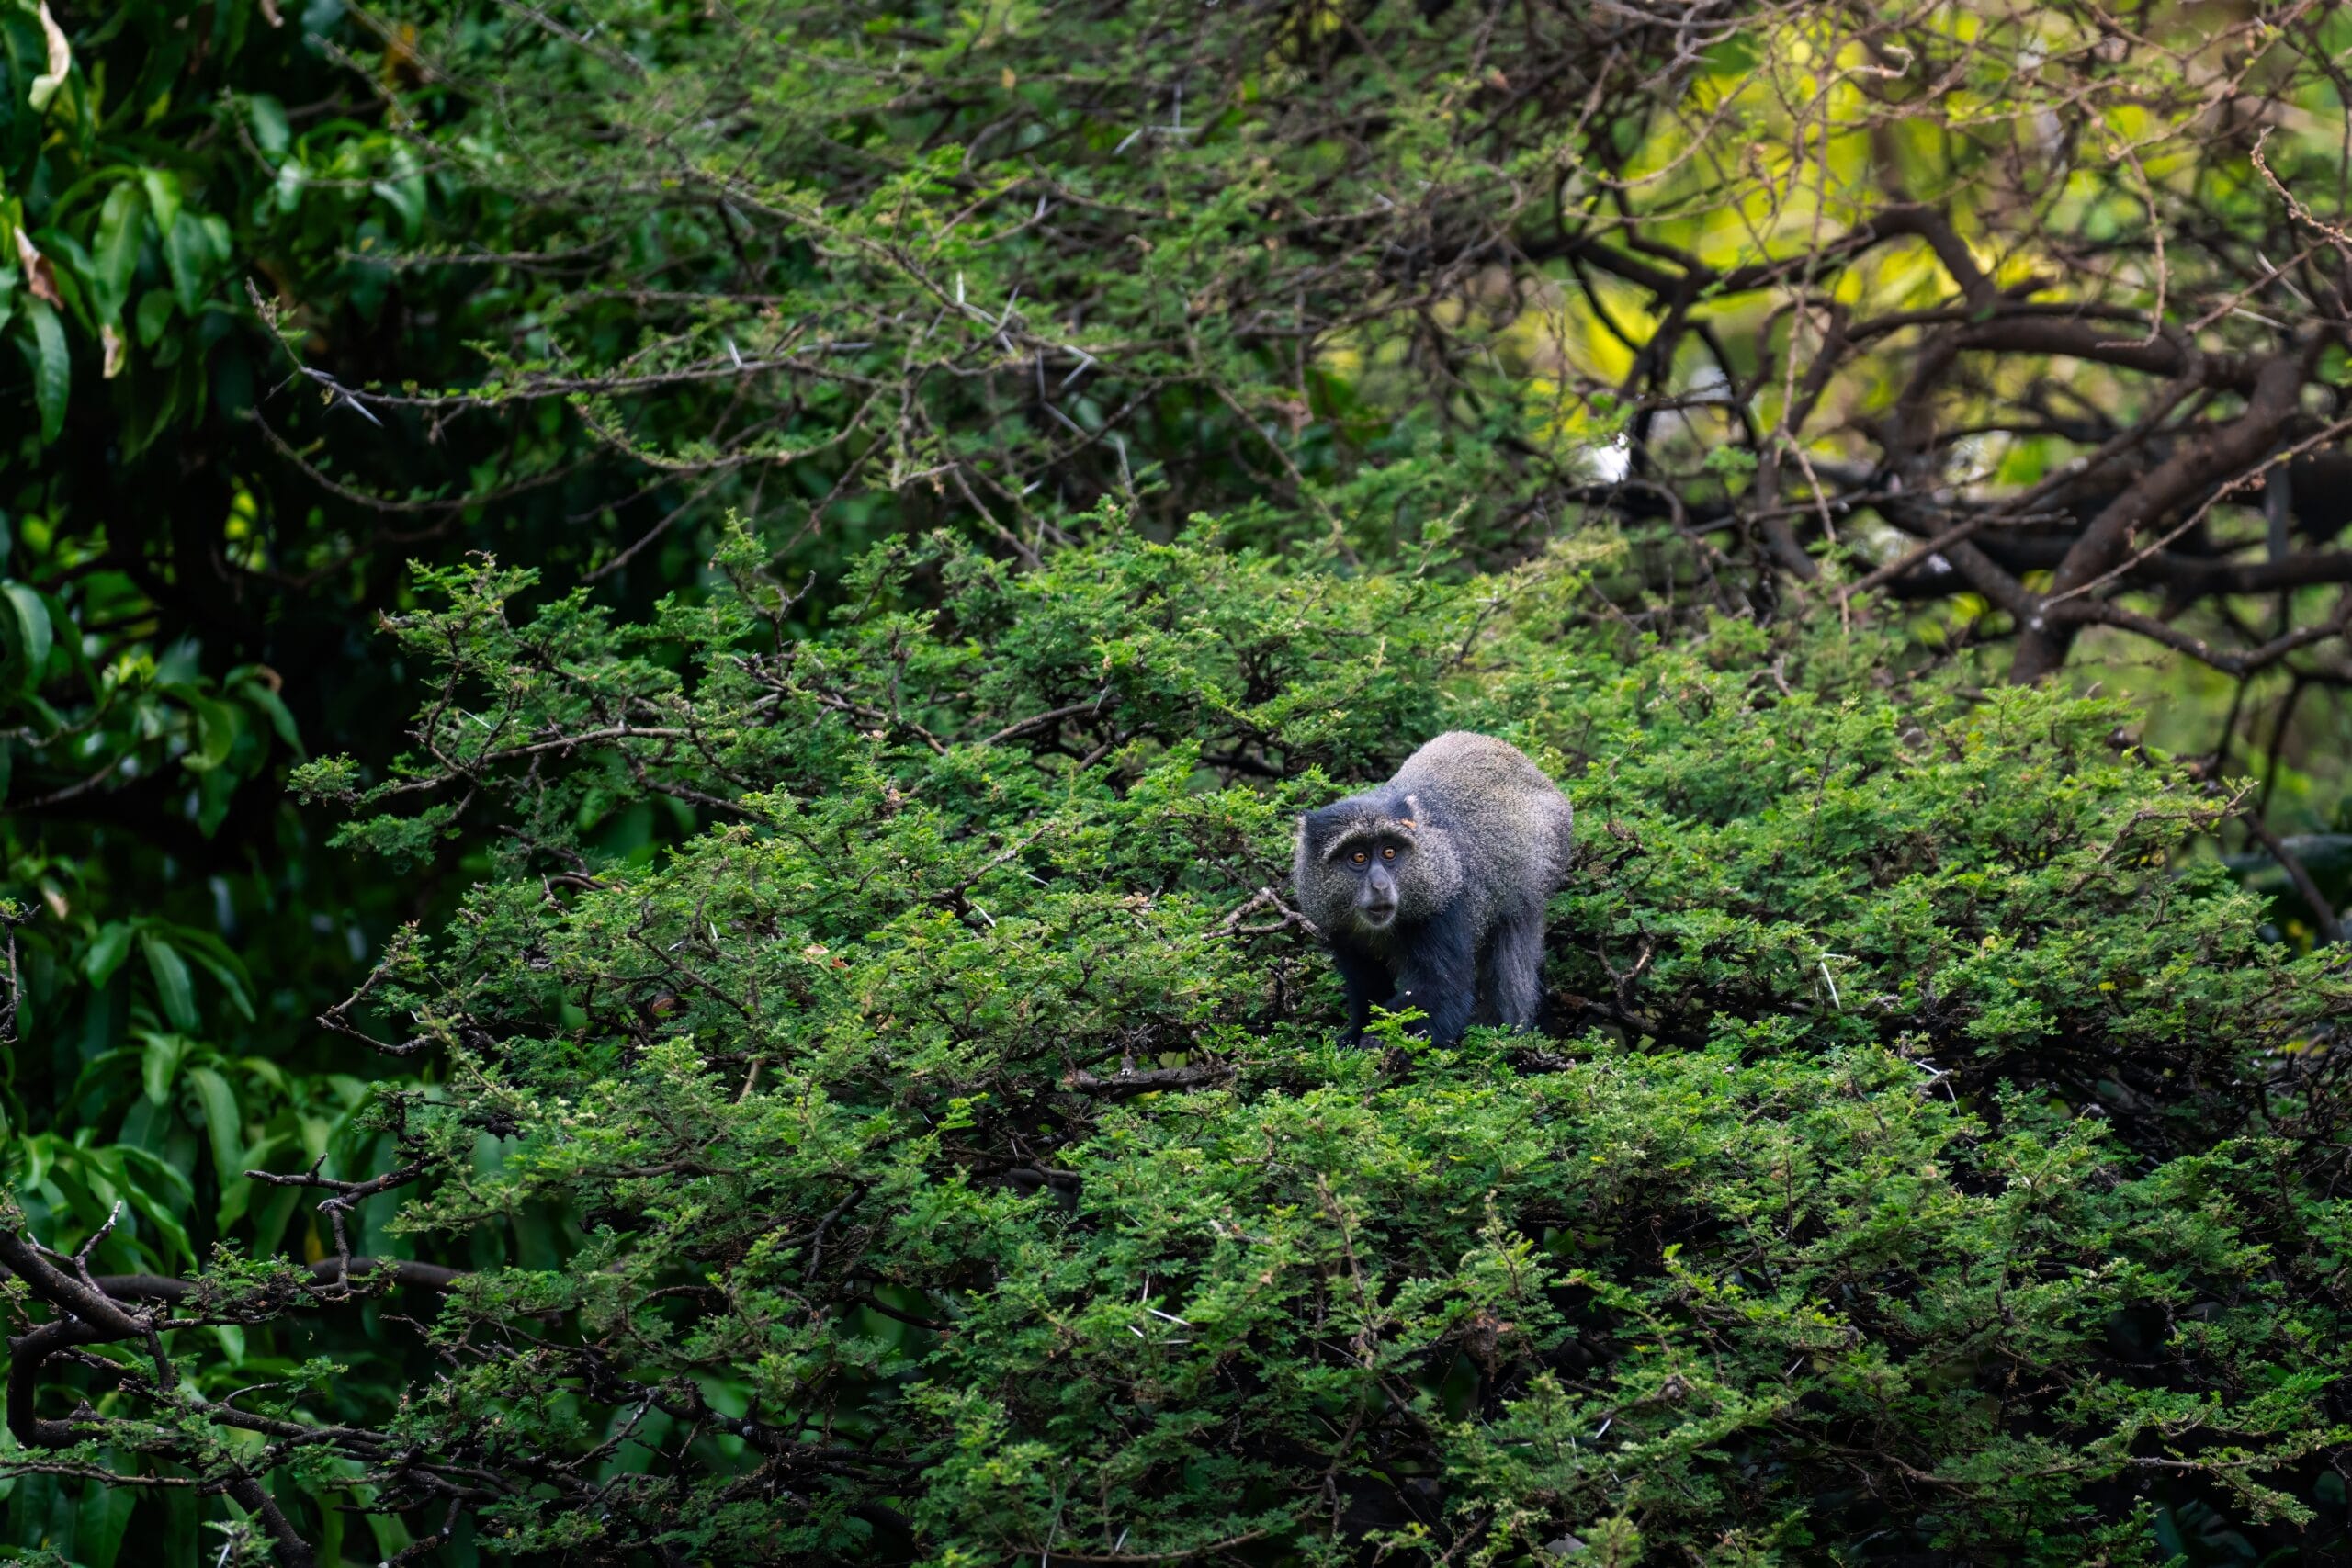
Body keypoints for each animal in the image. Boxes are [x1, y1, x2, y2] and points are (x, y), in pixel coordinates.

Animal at [1293, 732, 1574, 1046]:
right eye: (1359, 857)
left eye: (1389, 852)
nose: (1380, 885)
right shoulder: (1340, 931)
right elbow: (1367, 986)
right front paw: (1356, 1035)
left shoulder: (1444, 906)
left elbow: (1441, 992)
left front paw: (1379, 1040)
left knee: (1512, 953)